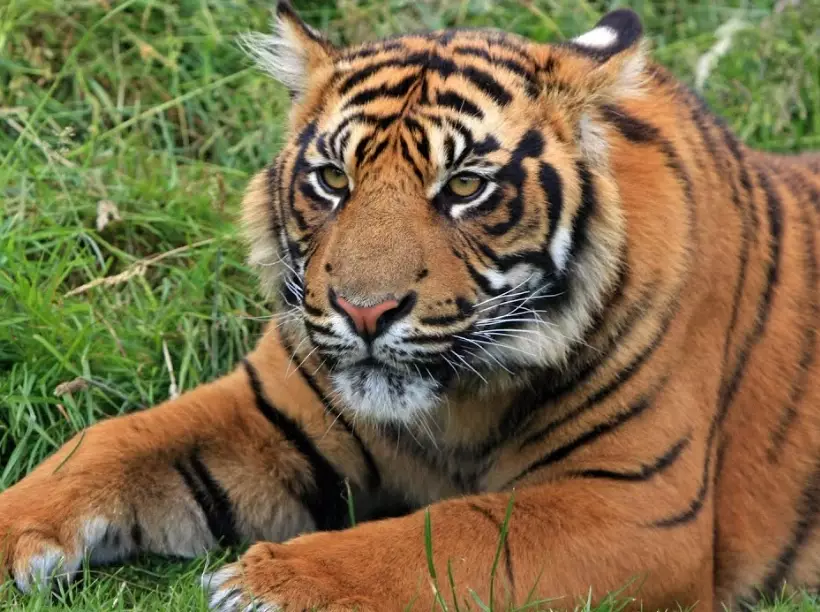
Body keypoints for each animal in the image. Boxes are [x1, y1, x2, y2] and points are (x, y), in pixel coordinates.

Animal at [2, 1, 820, 610]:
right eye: (333, 178)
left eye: (464, 187)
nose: (365, 312)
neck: (454, 407)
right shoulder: (271, 409)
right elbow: (112, 441)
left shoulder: (637, 509)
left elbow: (452, 536)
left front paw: (271, 580)